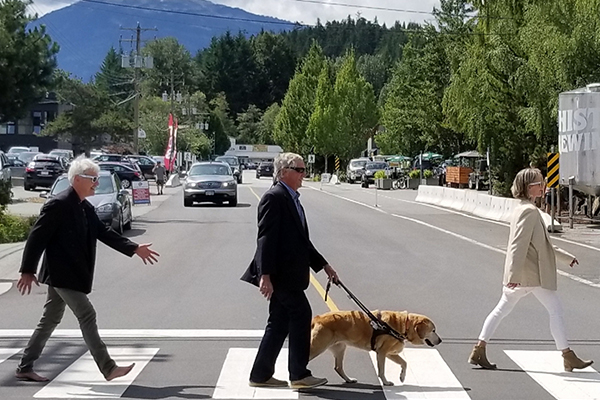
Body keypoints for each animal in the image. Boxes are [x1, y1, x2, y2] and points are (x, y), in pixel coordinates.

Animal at [310, 310, 440, 386]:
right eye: (433, 330)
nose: (440, 340)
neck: (404, 324)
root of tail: (317, 318)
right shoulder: (382, 353)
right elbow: (382, 371)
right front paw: (386, 382)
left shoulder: (390, 353)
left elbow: (404, 363)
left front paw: (402, 377)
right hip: (317, 346)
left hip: (340, 348)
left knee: (338, 367)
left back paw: (349, 380)